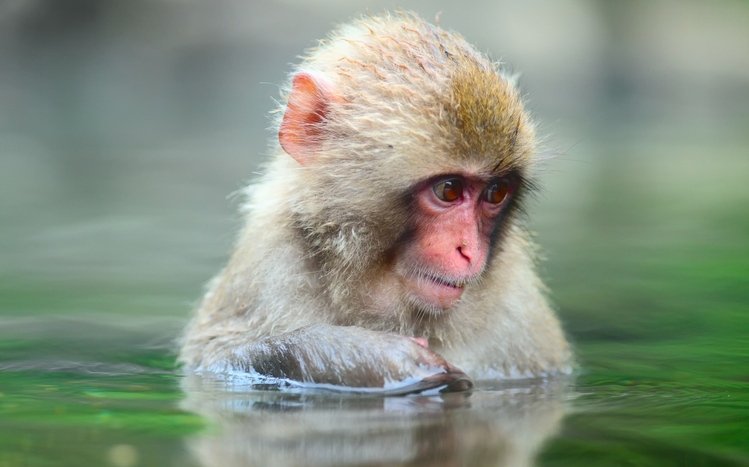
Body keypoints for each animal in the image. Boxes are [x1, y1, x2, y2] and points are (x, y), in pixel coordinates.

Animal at [179, 12, 572, 394]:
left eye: (495, 193)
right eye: (448, 190)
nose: (469, 251)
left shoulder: (520, 316)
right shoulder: (266, 265)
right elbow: (218, 356)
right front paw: (370, 355)